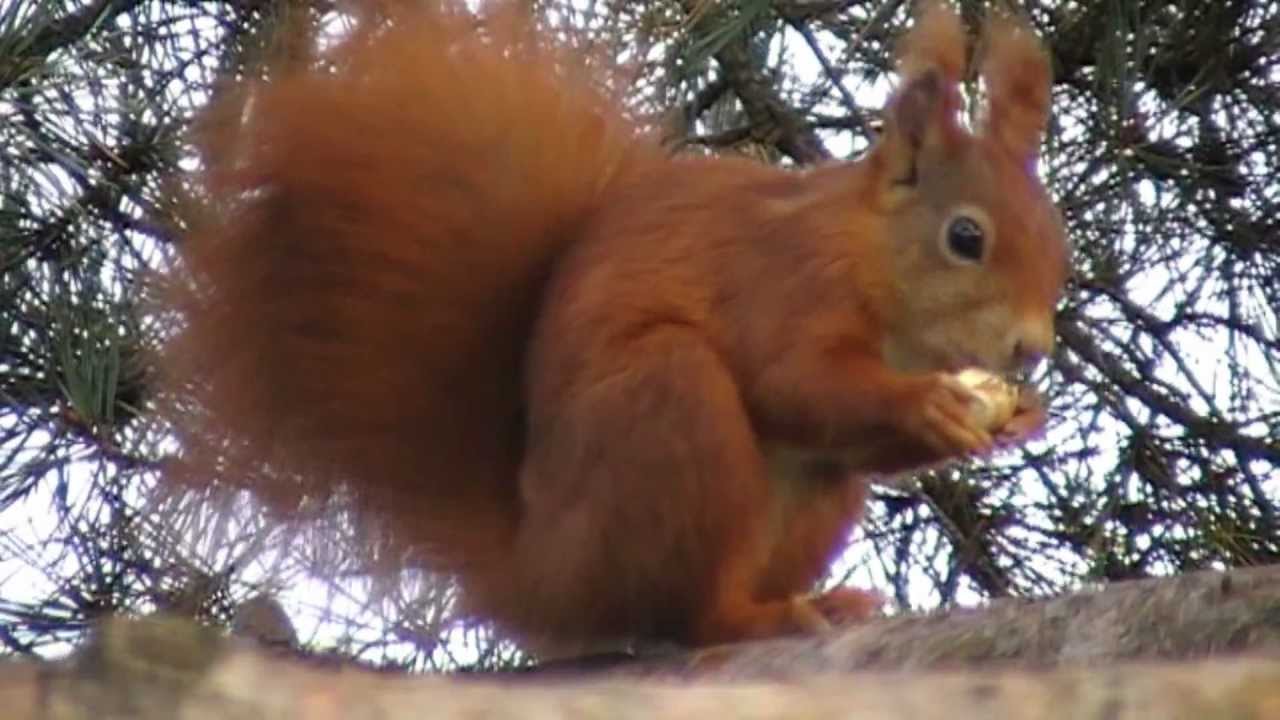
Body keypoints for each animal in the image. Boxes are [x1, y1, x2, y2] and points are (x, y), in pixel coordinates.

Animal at [157, 0, 1069, 656]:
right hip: (667, 409)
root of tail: (542, 574)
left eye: (1056, 236)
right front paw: (930, 404)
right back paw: (757, 619)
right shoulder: (784, 284)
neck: (870, 259)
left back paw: (819, 600)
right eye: (966, 237)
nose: (1031, 348)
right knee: (689, 615)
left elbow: (857, 442)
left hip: (808, 496)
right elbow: (794, 382)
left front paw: (1015, 418)